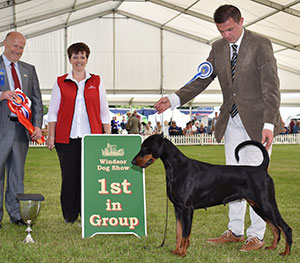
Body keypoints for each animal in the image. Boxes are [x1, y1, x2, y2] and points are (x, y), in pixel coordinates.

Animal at [131, 136, 290, 258]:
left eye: (146, 147)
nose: (133, 162)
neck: (176, 168)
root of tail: (261, 168)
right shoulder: (177, 208)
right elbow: (178, 232)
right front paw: (176, 251)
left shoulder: (187, 209)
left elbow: (185, 234)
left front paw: (182, 253)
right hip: (258, 206)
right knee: (276, 229)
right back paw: (272, 248)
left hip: (267, 204)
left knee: (285, 228)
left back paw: (285, 253)